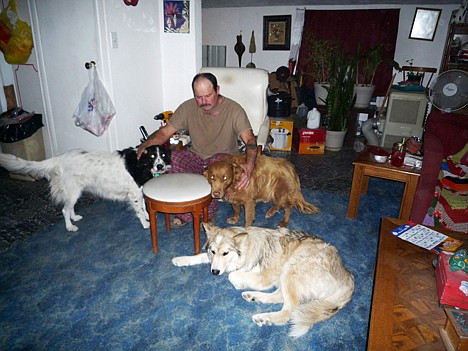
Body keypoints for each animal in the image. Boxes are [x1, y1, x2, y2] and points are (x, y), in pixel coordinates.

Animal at [0, 144, 172, 232]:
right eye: (152, 156)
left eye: (163, 156)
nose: (160, 166)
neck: (141, 163)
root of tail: (58, 158)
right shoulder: (134, 194)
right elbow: (139, 211)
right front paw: (145, 224)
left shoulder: (140, 191)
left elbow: (144, 207)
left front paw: (148, 217)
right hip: (73, 190)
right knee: (64, 210)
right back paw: (70, 226)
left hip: (75, 191)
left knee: (69, 208)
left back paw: (75, 217)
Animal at [172, 224, 354, 340]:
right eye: (213, 251)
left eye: (225, 253)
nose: (214, 273)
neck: (247, 247)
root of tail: (348, 280)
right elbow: (200, 256)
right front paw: (181, 259)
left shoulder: (264, 277)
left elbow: (233, 275)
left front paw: (237, 281)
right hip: (288, 274)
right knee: (280, 297)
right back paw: (252, 297)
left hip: (291, 268)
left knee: (289, 310)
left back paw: (263, 317)